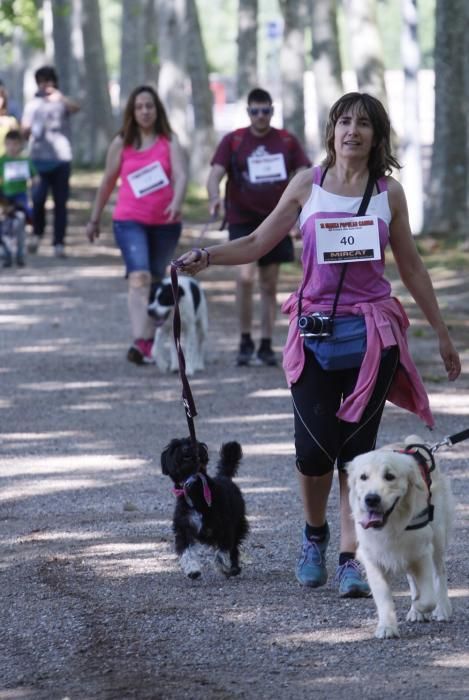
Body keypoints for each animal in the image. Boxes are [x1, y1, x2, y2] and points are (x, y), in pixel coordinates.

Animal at [161, 438, 249, 580]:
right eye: (175, 447)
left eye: (190, 443)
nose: (185, 448)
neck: (192, 487)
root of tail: (224, 476)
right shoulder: (183, 528)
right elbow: (187, 551)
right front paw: (192, 569)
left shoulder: (225, 528)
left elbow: (222, 551)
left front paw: (223, 567)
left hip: (238, 525)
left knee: (234, 547)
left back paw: (234, 568)